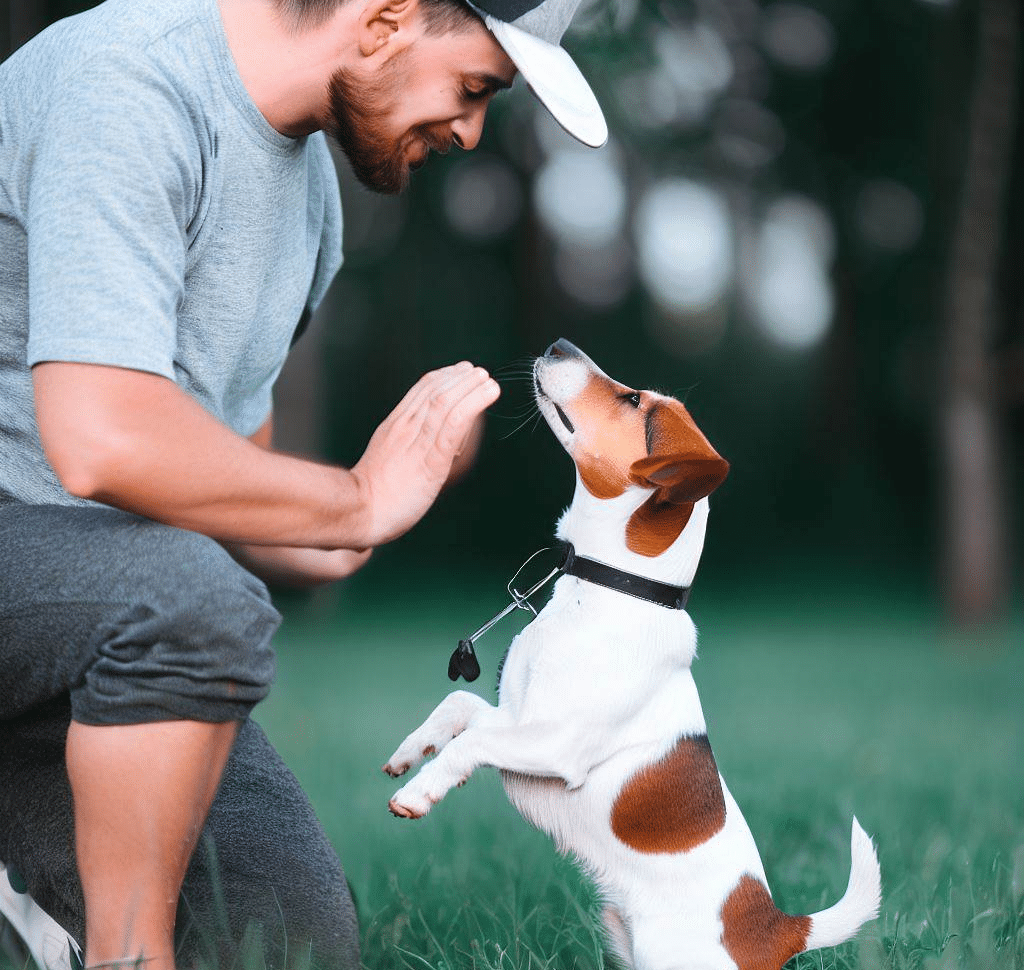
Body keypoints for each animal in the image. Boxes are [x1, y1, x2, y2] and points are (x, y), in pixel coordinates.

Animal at [385, 338, 880, 966]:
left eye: (631, 400)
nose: (560, 344)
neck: (610, 589)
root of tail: (777, 929)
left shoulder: (555, 744)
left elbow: (472, 740)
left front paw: (418, 791)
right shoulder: (516, 715)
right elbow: (459, 708)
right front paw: (410, 751)